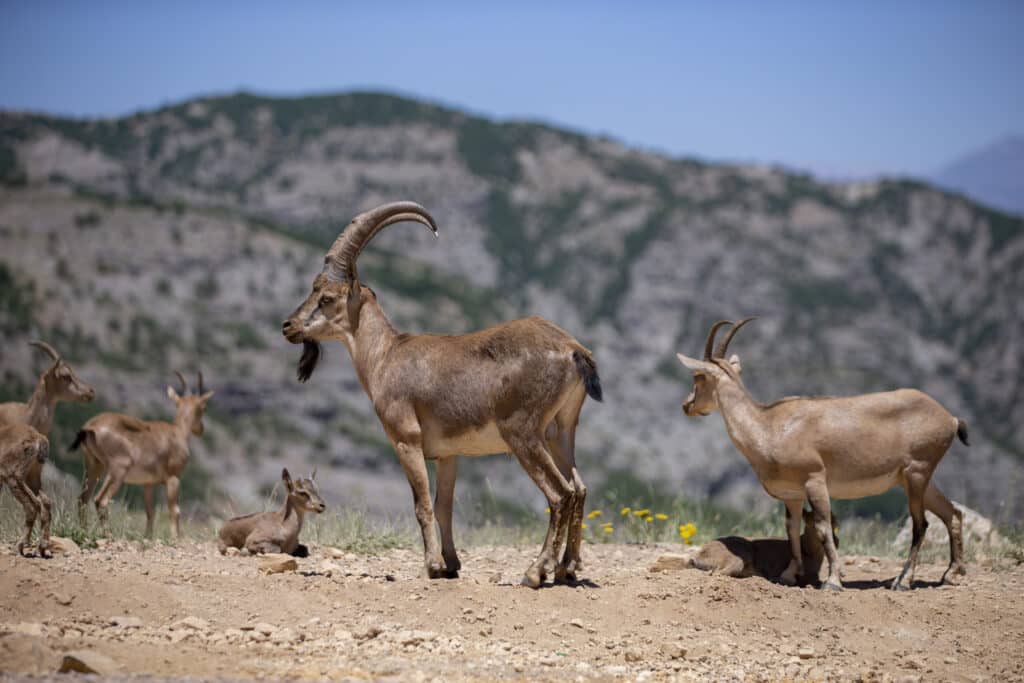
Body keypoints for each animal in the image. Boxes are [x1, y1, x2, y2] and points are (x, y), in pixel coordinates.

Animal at [0, 423, 51, 557]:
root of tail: (38, 438)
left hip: (13, 476)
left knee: (32, 506)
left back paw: (19, 547)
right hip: (33, 475)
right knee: (45, 503)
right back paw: (41, 548)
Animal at [72, 370, 214, 536]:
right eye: (204, 407)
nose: (201, 429)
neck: (178, 432)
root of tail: (90, 427)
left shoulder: (148, 484)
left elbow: (150, 512)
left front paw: (148, 537)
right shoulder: (173, 478)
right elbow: (175, 511)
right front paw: (175, 538)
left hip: (94, 466)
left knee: (82, 499)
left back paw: (83, 531)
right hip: (118, 470)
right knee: (101, 500)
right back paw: (108, 533)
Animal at [688, 509, 839, 585]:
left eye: (834, 522)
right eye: (810, 524)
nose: (835, 541)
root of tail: (699, 554)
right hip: (738, 558)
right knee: (717, 573)